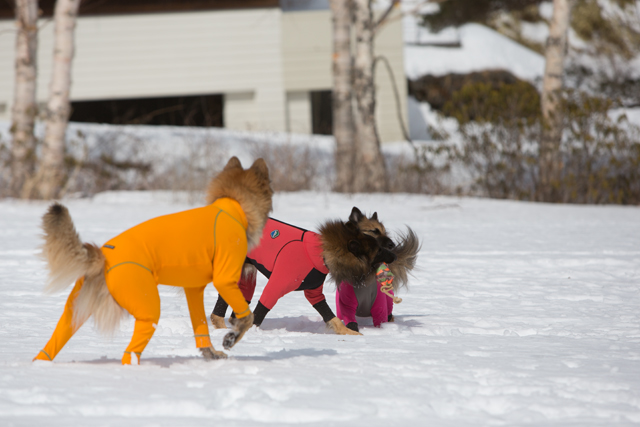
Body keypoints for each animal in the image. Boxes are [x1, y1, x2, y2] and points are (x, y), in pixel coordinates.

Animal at [33, 157, 272, 364]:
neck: (232, 207)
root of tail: (103, 254)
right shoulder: (225, 280)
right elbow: (248, 317)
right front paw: (231, 337)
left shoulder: (193, 290)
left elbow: (201, 326)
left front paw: (210, 353)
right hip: (148, 307)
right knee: (130, 352)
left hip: (74, 312)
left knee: (53, 343)